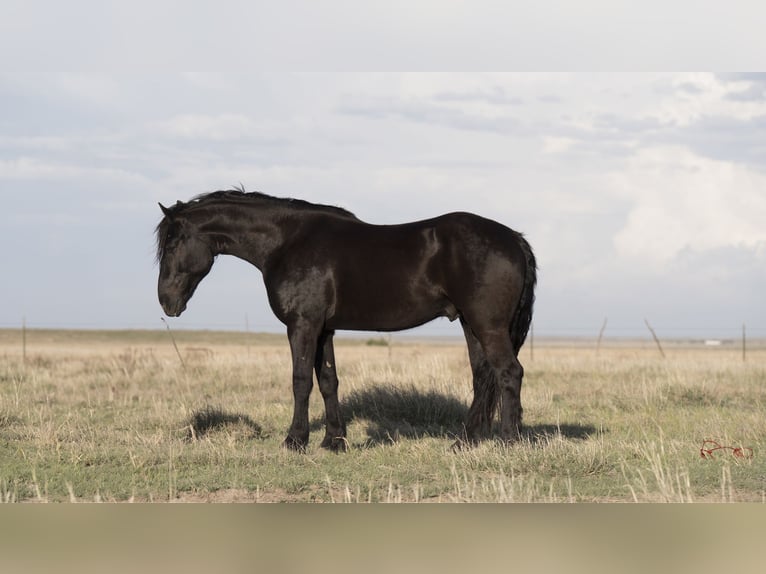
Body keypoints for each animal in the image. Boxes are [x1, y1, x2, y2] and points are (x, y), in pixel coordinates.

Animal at [155, 189, 536, 452]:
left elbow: (300, 381)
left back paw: (508, 441)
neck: (287, 242)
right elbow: (328, 381)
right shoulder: (324, 329)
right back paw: (465, 441)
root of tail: (514, 239)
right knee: (483, 378)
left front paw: (295, 441)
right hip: (471, 325)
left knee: (509, 373)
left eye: (172, 244)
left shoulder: (302, 325)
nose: (166, 302)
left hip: (487, 326)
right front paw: (334, 441)